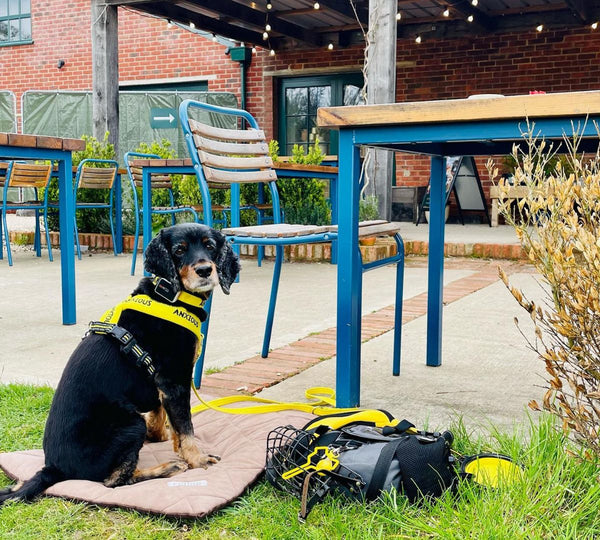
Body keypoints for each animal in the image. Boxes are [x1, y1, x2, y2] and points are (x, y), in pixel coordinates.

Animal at [0, 223, 239, 502]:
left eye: (210, 246)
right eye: (179, 250)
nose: (204, 270)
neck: (170, 296)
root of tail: (53, 467)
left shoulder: (160, 383)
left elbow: (163, 414)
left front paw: (161, 436)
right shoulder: (175, 380)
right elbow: (185, 426)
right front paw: (197, 460)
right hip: (131, 425)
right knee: (115, 481)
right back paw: (167, 468)